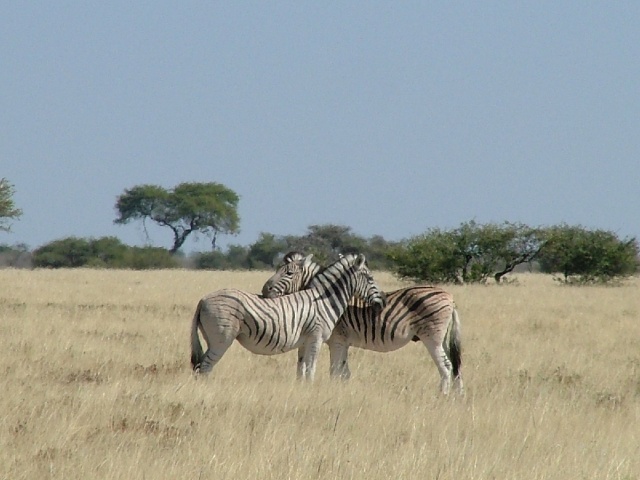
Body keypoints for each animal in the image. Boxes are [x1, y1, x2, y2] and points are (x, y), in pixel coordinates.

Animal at [190, 254, 386, 381]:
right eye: (370, 279)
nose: (382, 303)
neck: (324, 301)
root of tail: (203, 299)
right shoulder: (316, 338)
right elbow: (311, 370)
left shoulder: (304, 341)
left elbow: (303, 370)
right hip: (222, 339)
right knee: (205, 367)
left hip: (211, 339)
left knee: (200, 367)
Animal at [261, 252, 463, 394]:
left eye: (288, 273)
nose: (264, 291)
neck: (327, 299)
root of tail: (451, 298)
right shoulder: (341, 343)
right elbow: (343, 373)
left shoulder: (337, 341)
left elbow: (335, 371)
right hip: (443, 339)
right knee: (455, 365)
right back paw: (457, 396)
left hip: (432, 337)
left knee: (446, 366)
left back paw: (442, 396)